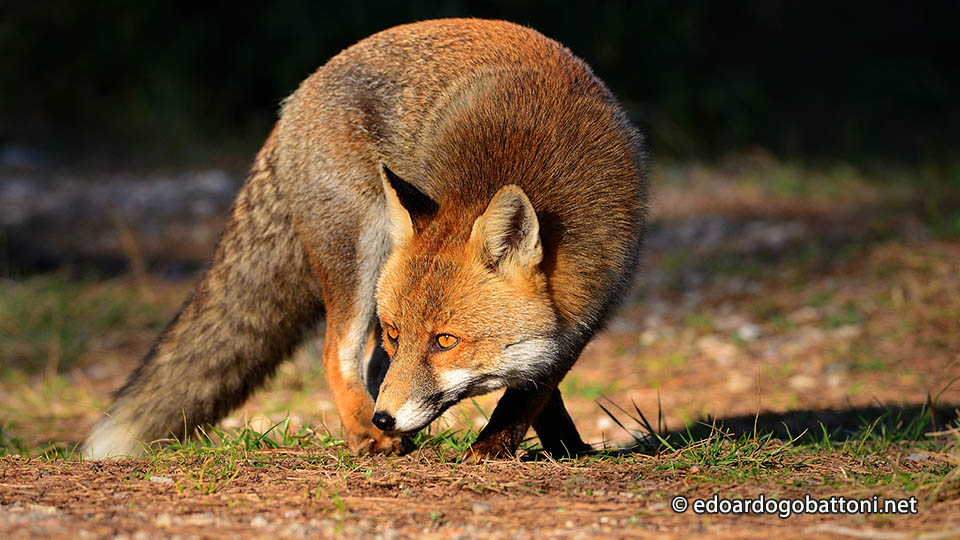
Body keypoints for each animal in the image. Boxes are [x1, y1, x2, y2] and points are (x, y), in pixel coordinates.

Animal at [82, 18, 647, 460]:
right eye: (400, 334)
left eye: (445, 341)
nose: (385, 419)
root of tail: (299, 94)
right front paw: (497, 446)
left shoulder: (591, 305)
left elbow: (536, 385)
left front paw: (550, 444)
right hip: (360, 254)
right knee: (338, 353)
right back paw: (362, 434)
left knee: (371, 366)